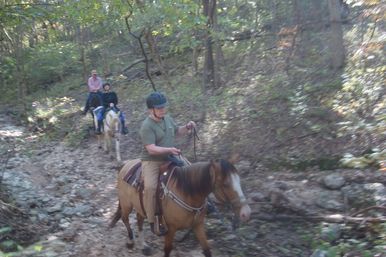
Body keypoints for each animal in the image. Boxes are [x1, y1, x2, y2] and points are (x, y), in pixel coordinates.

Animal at [110, 156, 252, 256]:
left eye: (239, 180)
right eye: (226, 184)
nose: (246, 213)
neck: (187, 192)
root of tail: (126, 165)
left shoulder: (198, 225)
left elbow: (207, 250)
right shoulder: (170, 229)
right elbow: (167, 250)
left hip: (140, 206)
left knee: (139, 220)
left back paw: (144, 246)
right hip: (126, 204)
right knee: (125, 219)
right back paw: (130, 242)